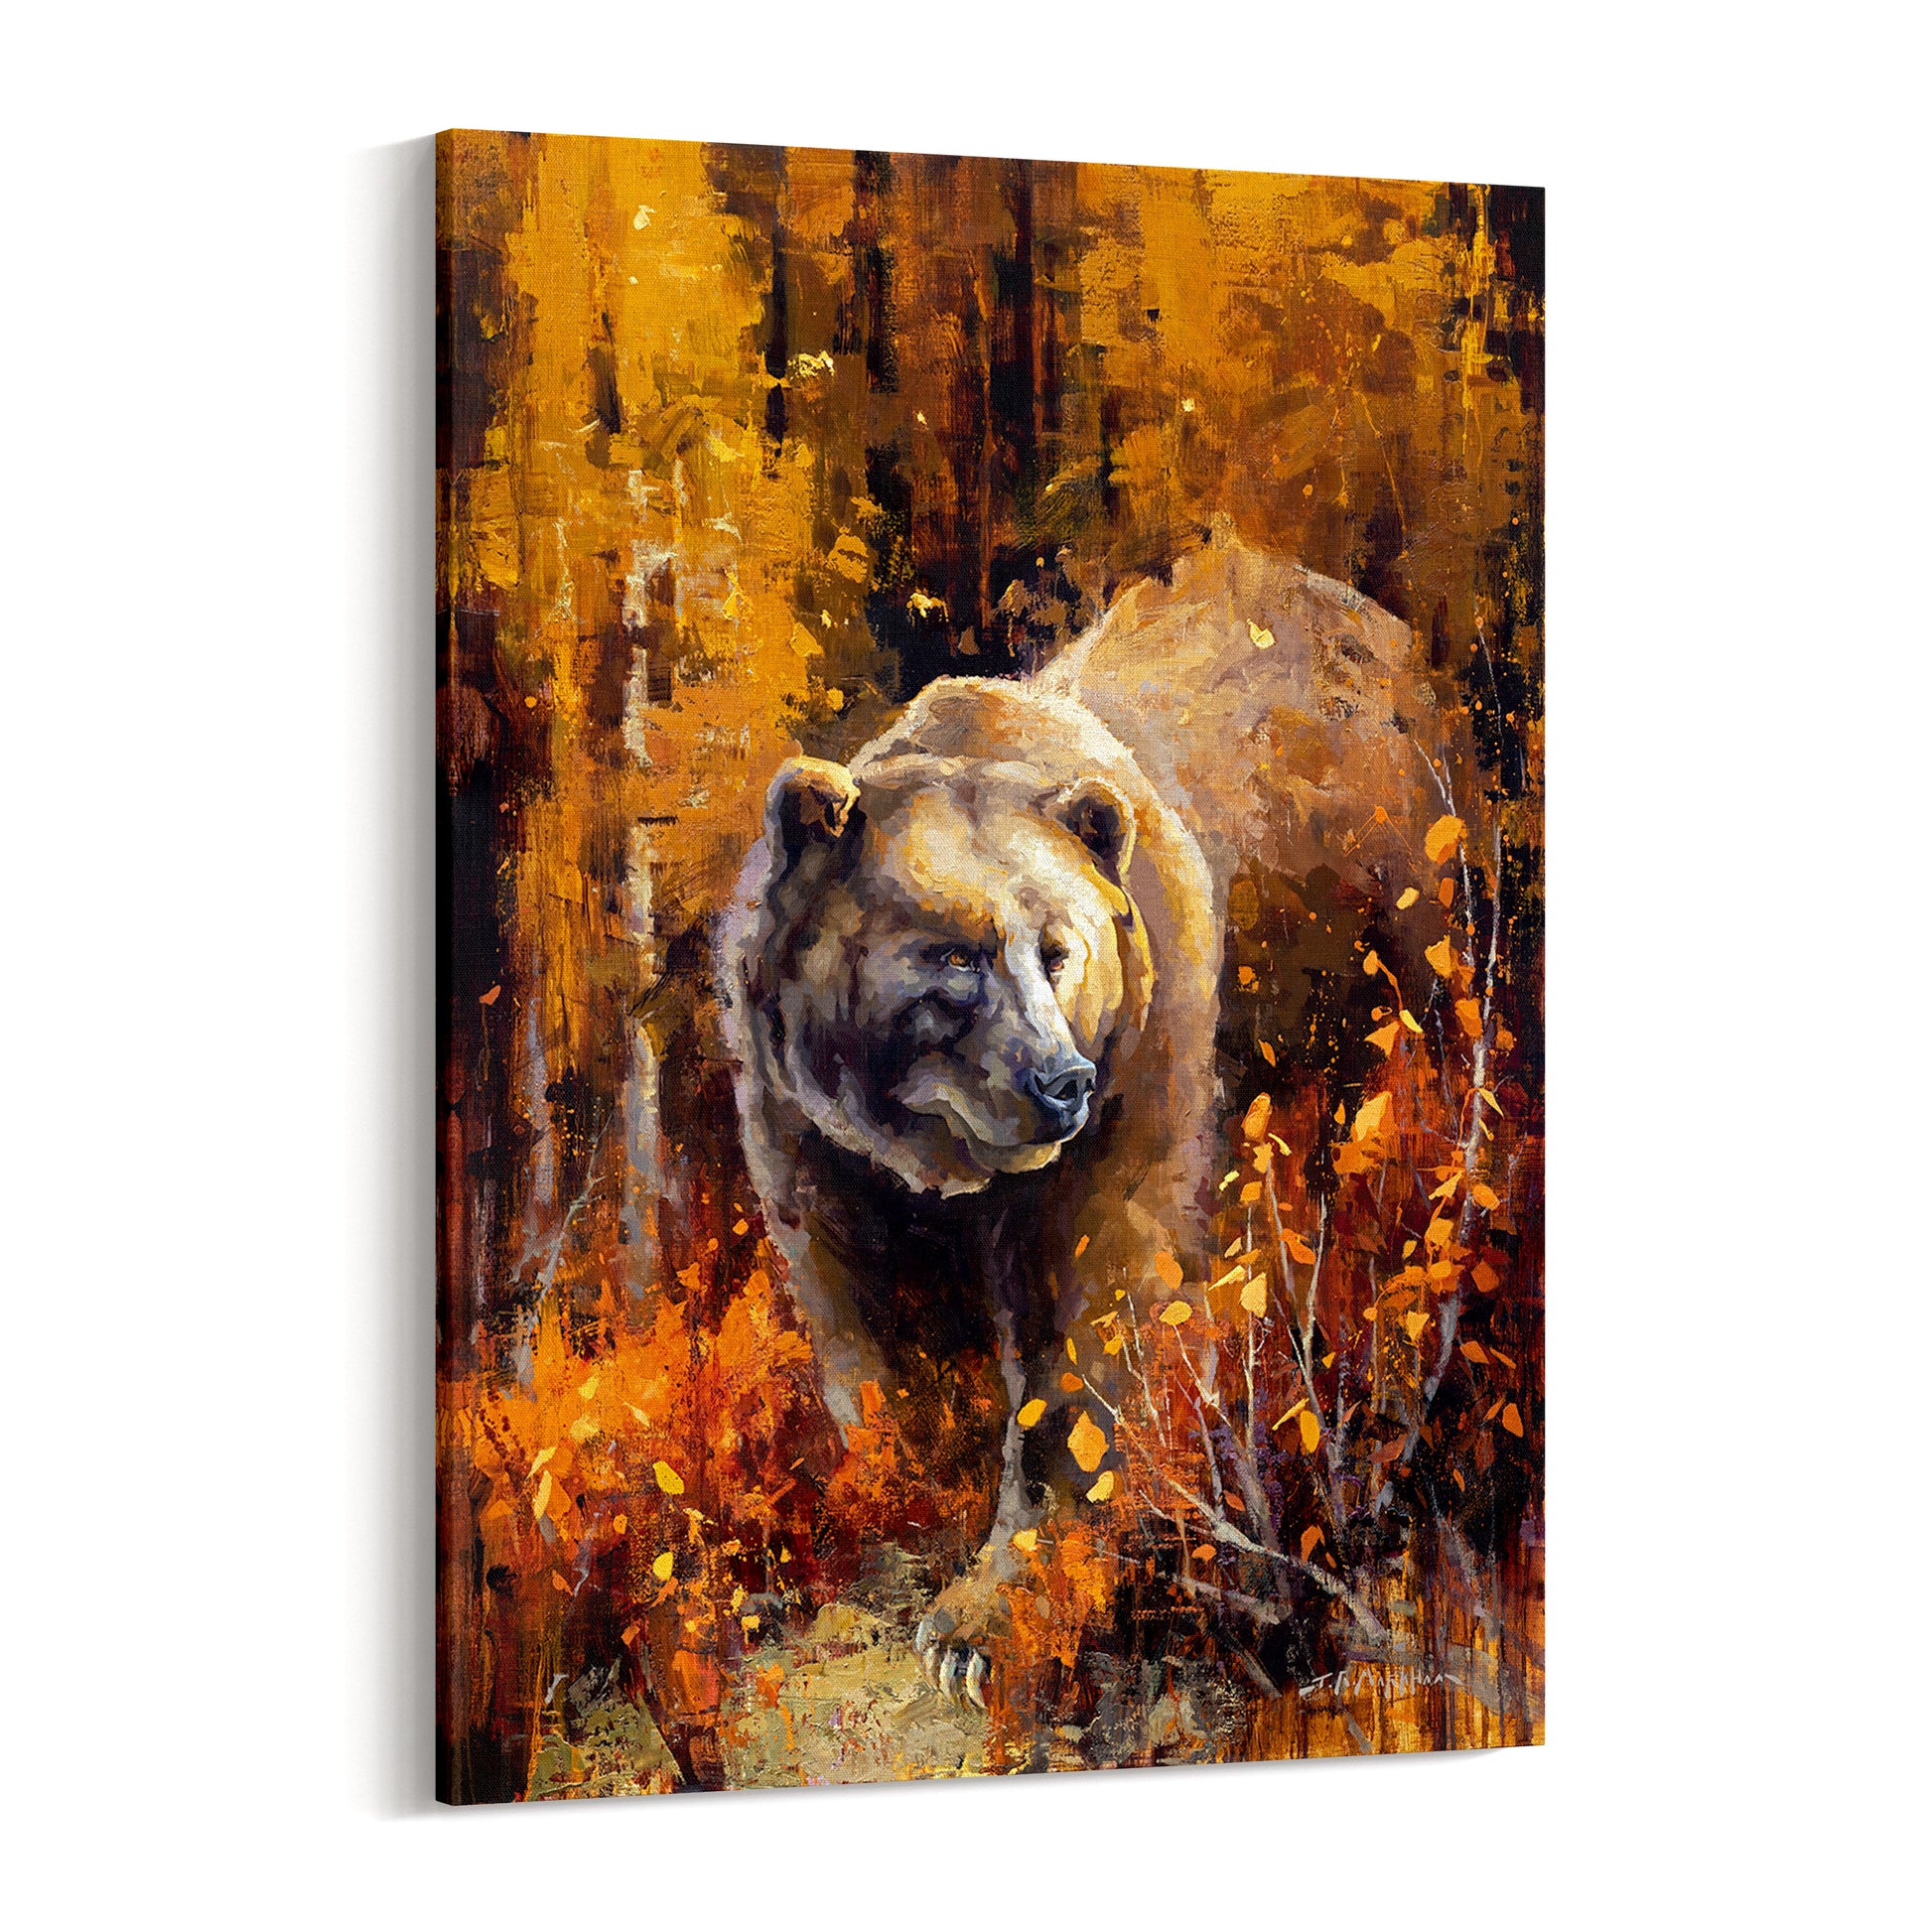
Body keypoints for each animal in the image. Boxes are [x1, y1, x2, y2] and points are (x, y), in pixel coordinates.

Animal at [715, 532, 1461, 1705]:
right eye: (953, 955)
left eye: (1059, 947)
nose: (1056, 1079)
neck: (933, 1150)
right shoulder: (805, 1127)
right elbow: (856, 1313)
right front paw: (896, 1493)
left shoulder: (1137, 1073)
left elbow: (1085, 1316)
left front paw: (977, 1622)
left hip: (1394, 914)